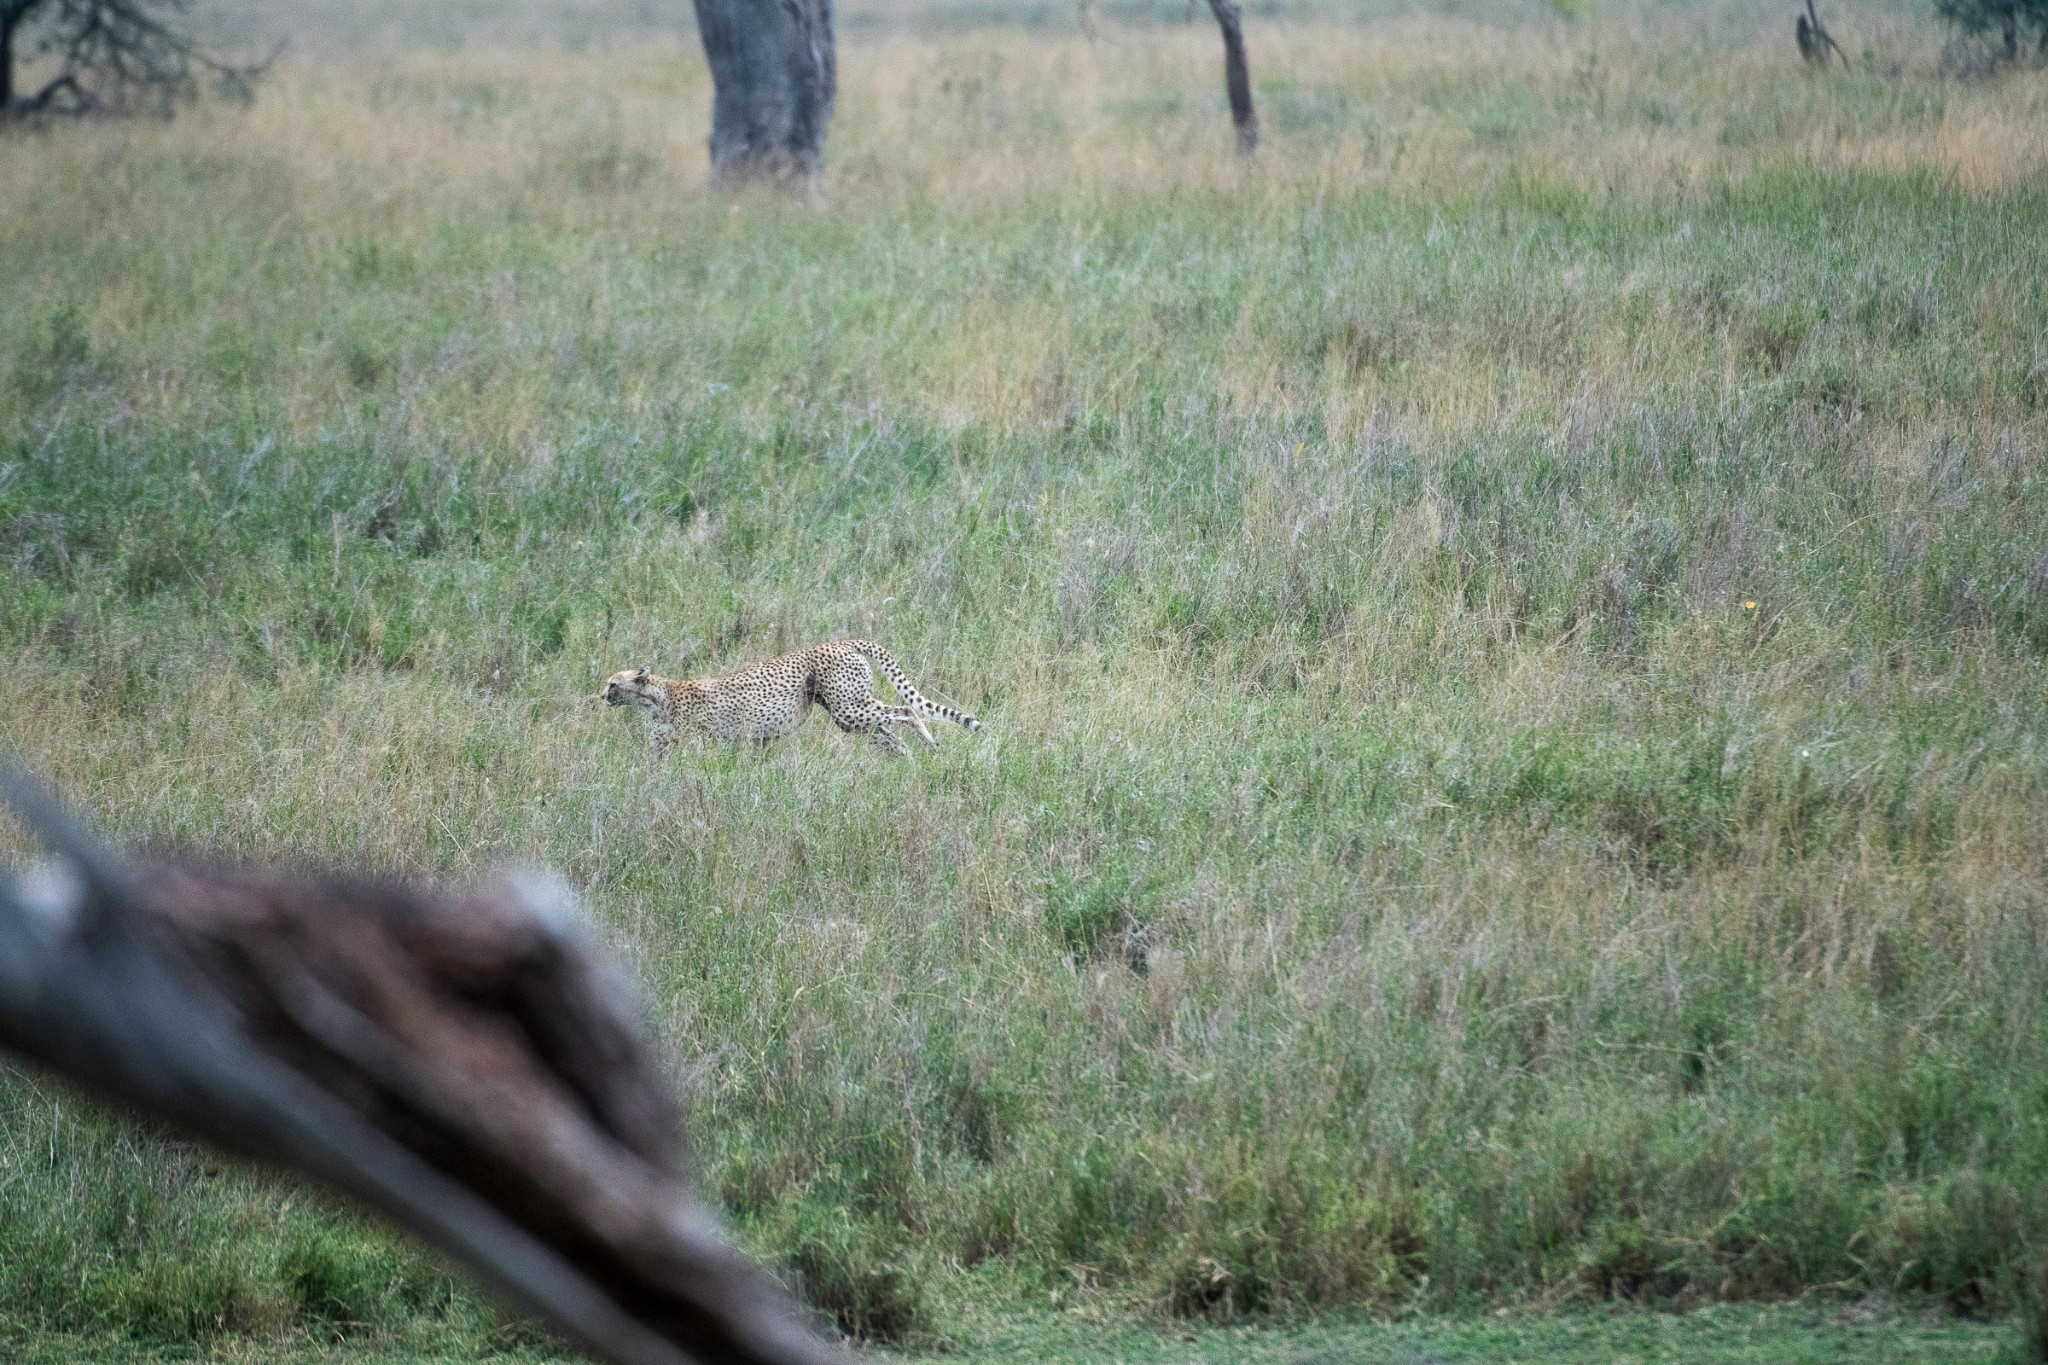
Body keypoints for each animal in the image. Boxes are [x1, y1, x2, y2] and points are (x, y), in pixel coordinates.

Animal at [598, 642, 983, 757]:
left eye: (613, 684)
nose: (602, 695)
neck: (658, 695)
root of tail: (843, 641)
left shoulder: (711, 739)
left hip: (849, 708)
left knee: (905, 712)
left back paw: (929, 745)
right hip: (850, 713)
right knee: (892, 735)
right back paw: (908, 764)